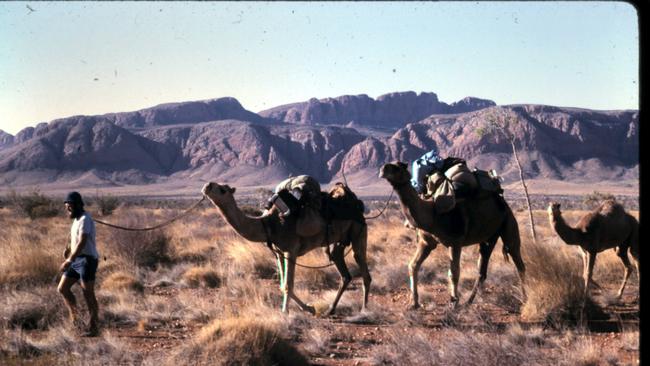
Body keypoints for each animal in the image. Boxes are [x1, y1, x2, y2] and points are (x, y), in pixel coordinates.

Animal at [201, 182, 370, 314]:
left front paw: (286, 312)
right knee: (343, 271)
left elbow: (288, 285)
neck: (268, 224)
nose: (207, 186)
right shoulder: (279, 253)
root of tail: (356, 203)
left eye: (222, 189)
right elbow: (283, 286)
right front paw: (309, 308)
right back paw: (330, 310)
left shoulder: (291, 250)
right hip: (338, 242)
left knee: (362, 265)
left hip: (358, 230)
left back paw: (364, 310)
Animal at [378, 162, 524, 308]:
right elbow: (413, 265)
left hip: (508, 222)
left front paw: (454, 301)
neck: (432, 215)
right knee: (482, 270)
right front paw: (413, 303)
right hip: (489, 237)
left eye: (397, 167)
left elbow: (453, 272)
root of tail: (503, 202)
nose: (383, 169)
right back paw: (469, 302)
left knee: (517, 259)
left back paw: (524, 297)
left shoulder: (455, 242)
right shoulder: (426, 243)